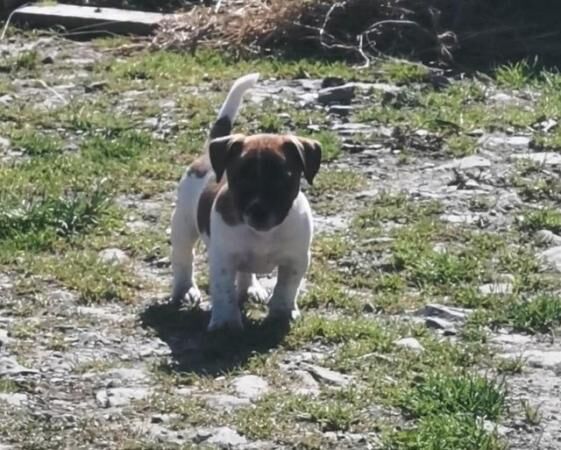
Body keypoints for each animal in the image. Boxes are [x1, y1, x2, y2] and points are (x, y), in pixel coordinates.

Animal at [170, 74, 320, 332]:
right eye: (240, 178)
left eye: (283, 178)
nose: (258, 211)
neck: (263, 234)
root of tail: (208, 152)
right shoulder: (223, 260)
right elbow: (224, 292)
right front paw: (226, 322)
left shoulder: (296, 259)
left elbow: (286, 288)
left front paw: (282, 312)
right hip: (183, 225)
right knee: (184, 259)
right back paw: (185, 290)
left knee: (246, 272)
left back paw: (251, 288)